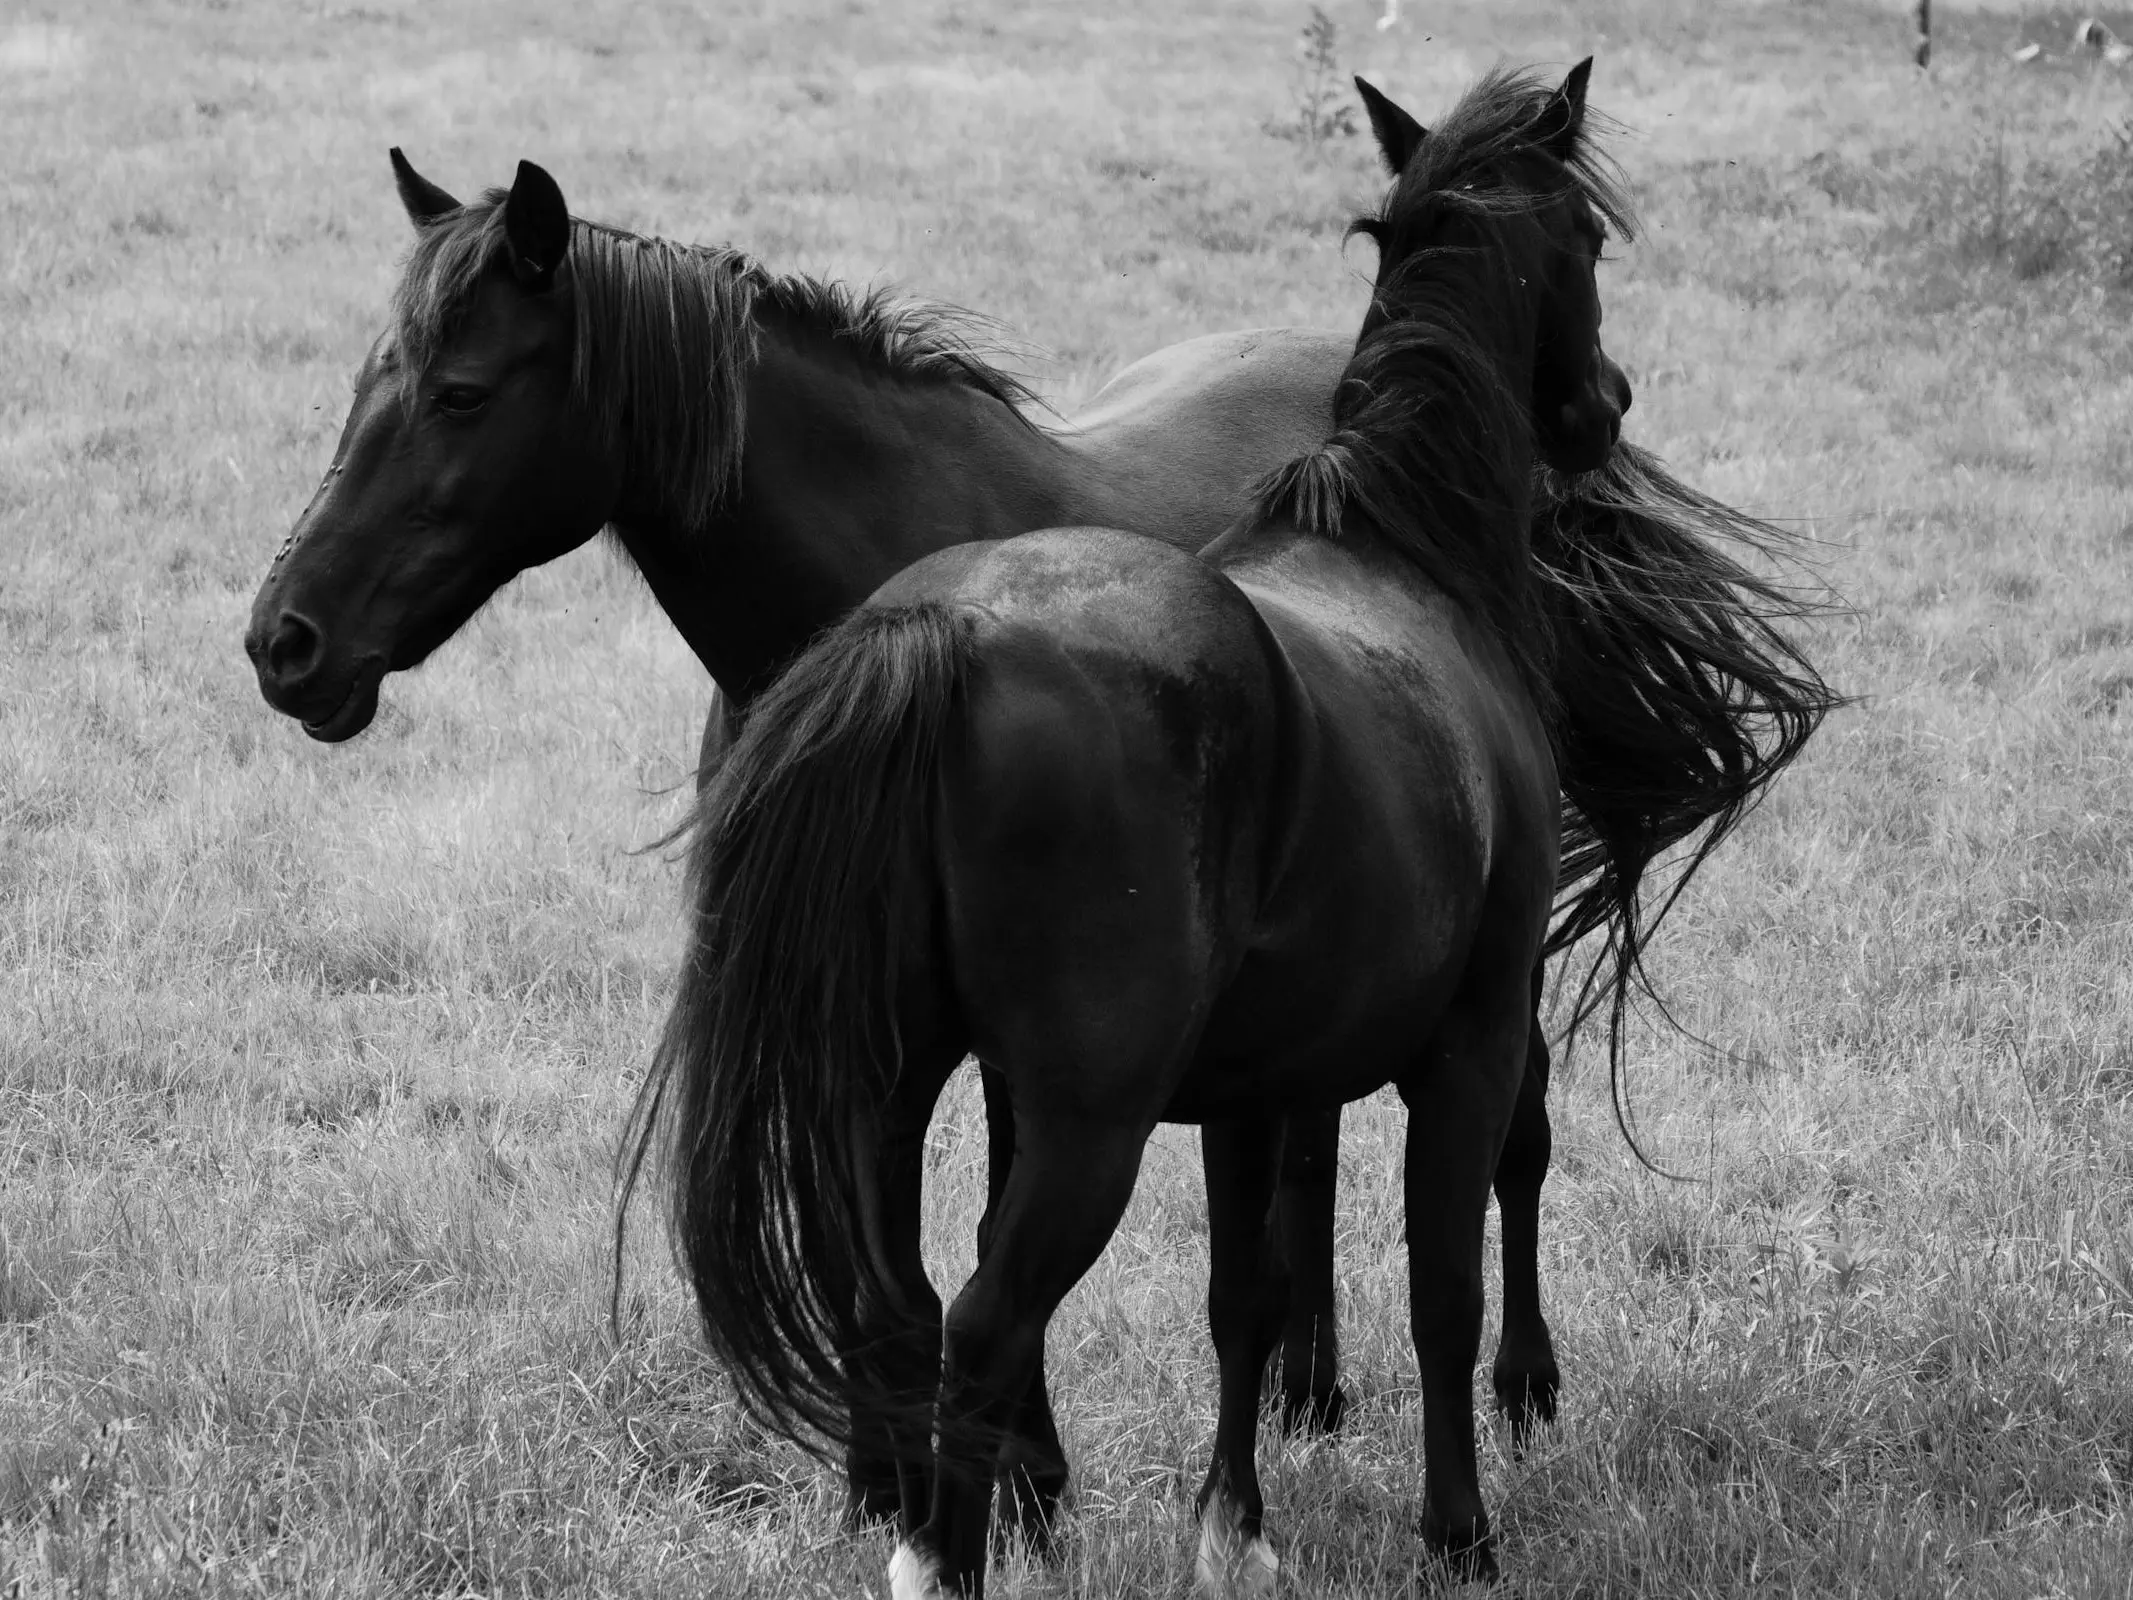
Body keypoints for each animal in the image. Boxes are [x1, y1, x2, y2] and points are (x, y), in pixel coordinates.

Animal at [627, 60, 1723, 1597]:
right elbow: (1441, 1283)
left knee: (905, 1306)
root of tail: (941, 636)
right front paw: (1459, 1530)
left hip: (892, 1088)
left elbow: (1244, 1297)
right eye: (1591, 241)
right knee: (982, 1323)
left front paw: (1235, 1523)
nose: (1602, 407)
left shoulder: (1253, 1085)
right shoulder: (1473, 1033)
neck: (1403, 558)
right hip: (1089, 1124)